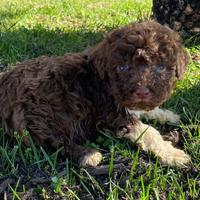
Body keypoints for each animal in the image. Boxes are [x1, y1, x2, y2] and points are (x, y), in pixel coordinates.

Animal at [0, 21, 190, 166]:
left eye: (160, 67)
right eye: (122, 67)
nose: (141, 92)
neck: (103, 80)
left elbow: (145, 111)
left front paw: (166, 115)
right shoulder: (112, 114)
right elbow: (148, 132)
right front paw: (172, 154)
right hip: (40, 112)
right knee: (50, 142)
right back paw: (87, 155)